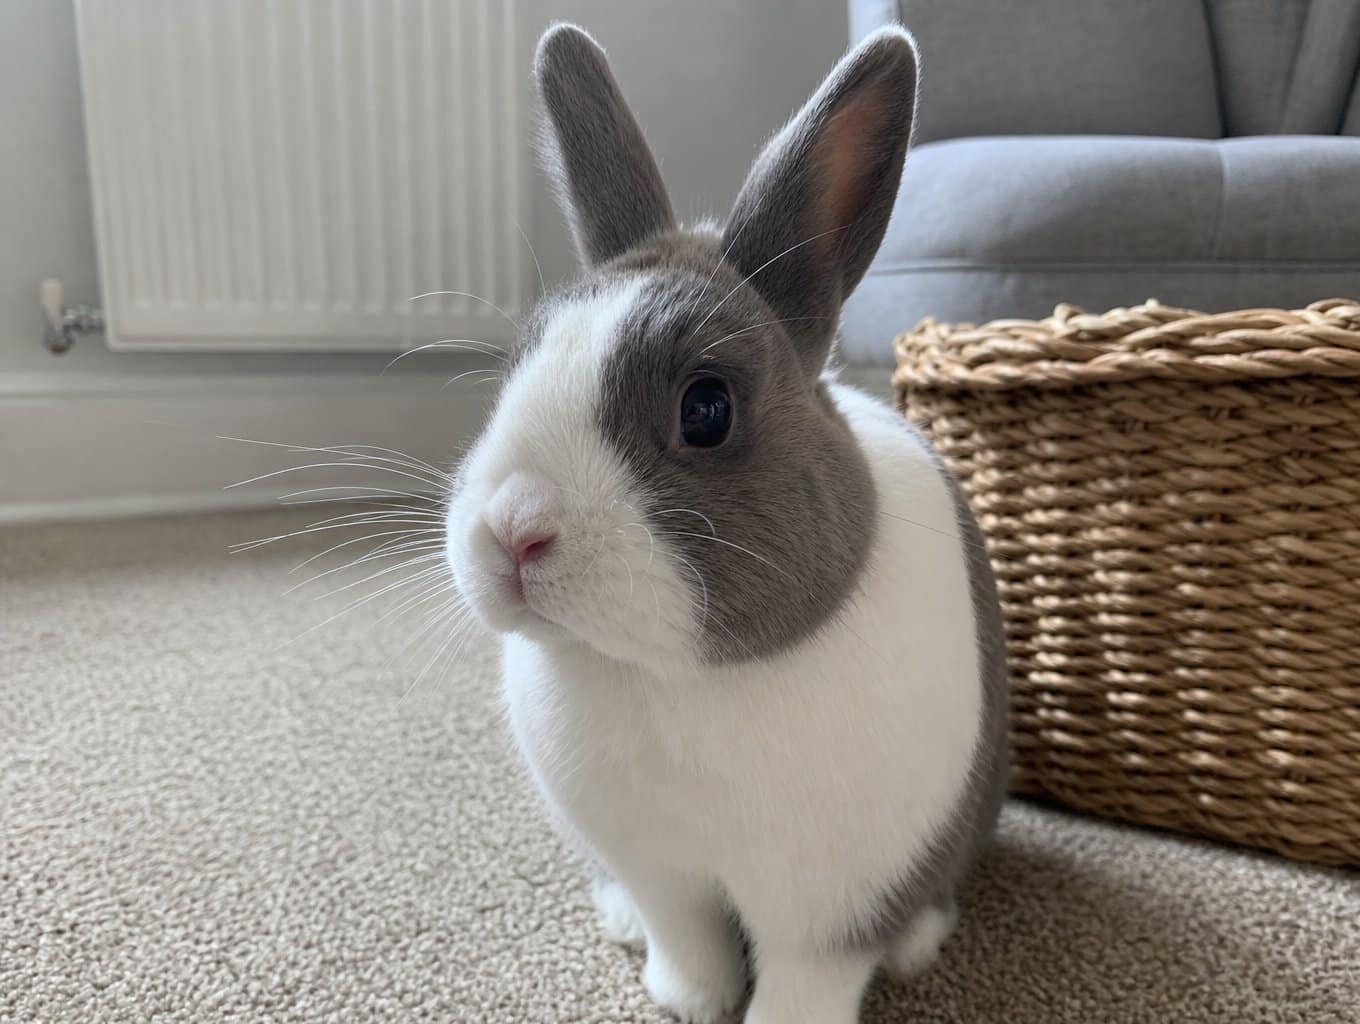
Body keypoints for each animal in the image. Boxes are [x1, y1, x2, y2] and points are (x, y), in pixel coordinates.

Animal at [442, 21, 1008, 1024]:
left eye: (706, 411)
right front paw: (684, 1001)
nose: (513, 533)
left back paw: (919, 944)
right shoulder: (661, 869)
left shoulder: (830, 909)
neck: (671, 679)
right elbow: (688, 940)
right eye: (516, 367)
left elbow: (804, 982)